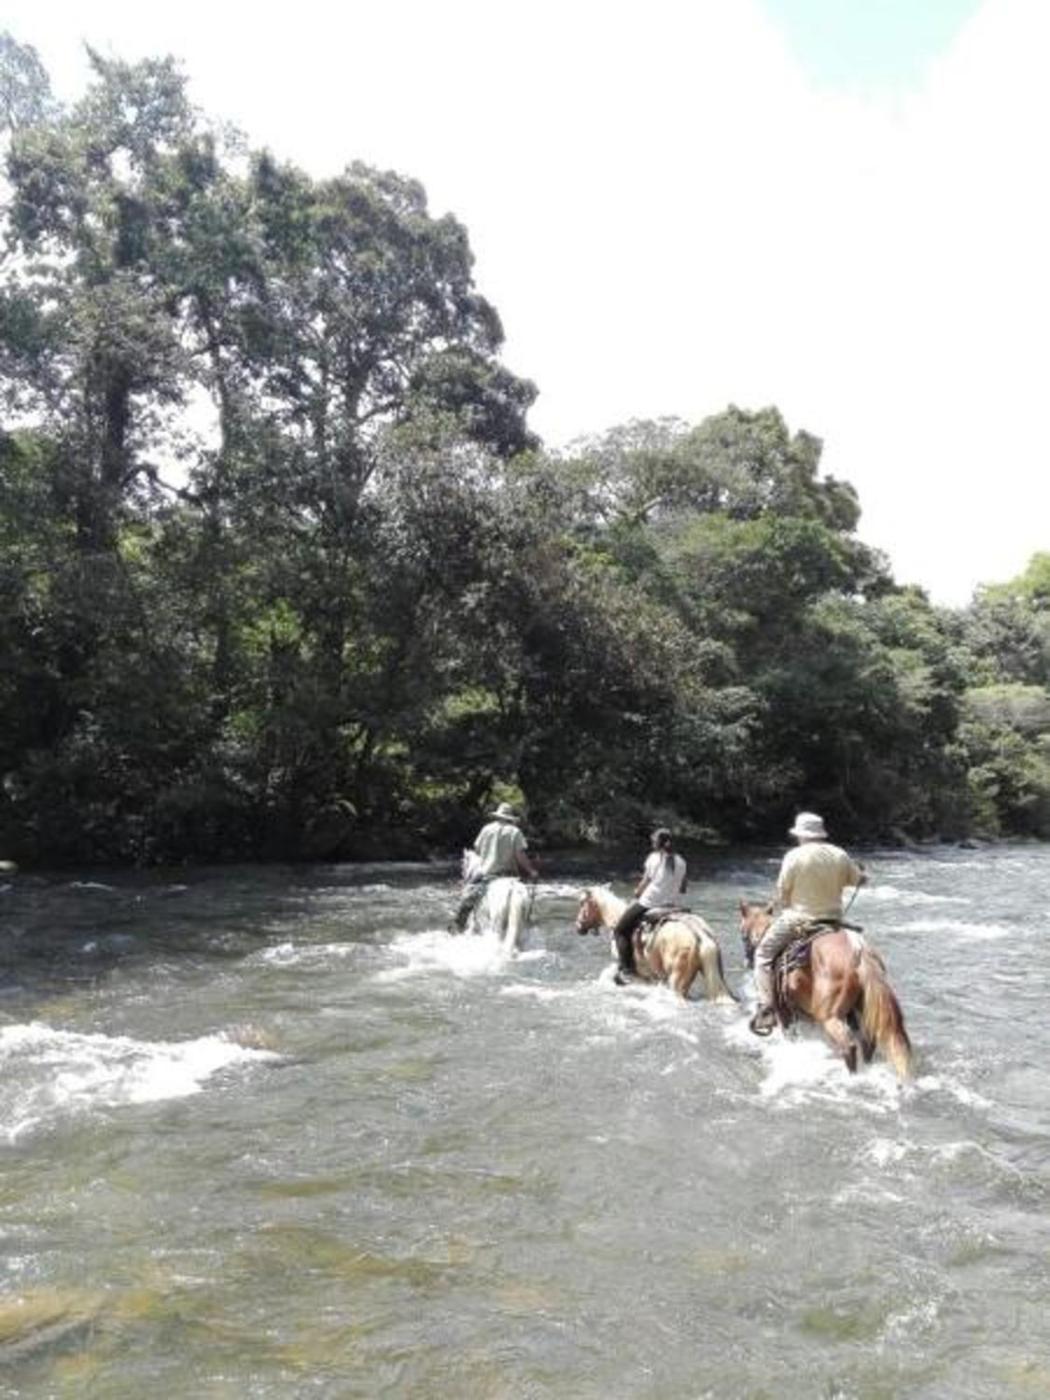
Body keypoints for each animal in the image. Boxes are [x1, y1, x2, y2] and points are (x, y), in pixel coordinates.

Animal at [575, 886, 736, 1003]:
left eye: (582, 903)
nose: (578, 926)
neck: (615, 917)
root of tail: (698, 932)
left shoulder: (640, 974)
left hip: (677, 981)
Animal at [738, 900, 913, 1079]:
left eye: (742, 933)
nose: (747, 962)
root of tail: (859, 953)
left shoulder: (784, 1012)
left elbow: (790, 1036)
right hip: (861, 1012)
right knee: (868, 1043)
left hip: (829, 1017)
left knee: (849, 1046)